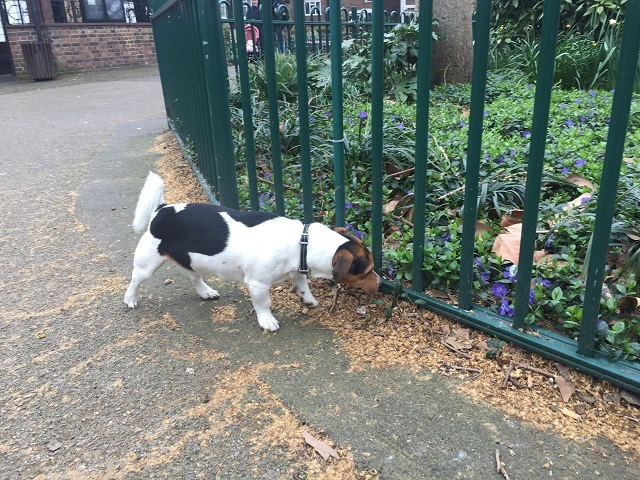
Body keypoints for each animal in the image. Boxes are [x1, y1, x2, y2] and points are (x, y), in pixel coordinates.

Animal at [124, 171, 380, 332]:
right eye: (367, 271)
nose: (379, 284)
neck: (303, 242)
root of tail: (163, 208)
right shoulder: (258, 284)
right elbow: (263, 303)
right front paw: (267, 321)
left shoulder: (296, 272)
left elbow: (303, 287)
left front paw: (308, 300)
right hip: (147, 263)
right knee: (136, 279)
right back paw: (130, 299)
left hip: (192, 259)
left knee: (194, 276)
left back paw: (206, 292)